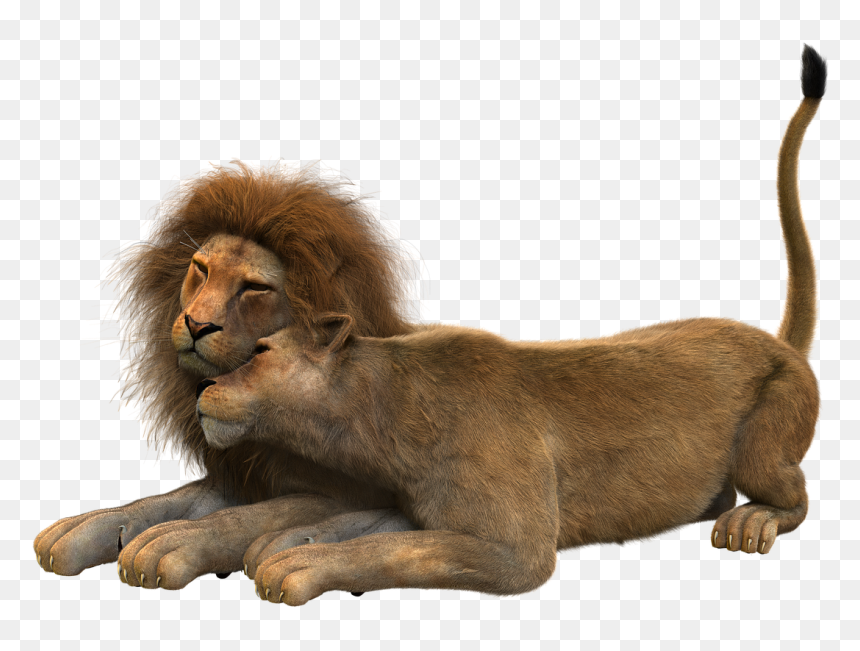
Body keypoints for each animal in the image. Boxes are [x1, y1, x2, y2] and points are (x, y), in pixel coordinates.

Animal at [34, 163, 416, 589]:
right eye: (201, 269)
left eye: (255, 287)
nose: (197, 324)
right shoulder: (240, 476)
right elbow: (164, 502)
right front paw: (82, 527)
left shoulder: (342, 491)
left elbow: (249, 518)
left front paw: (171, 541)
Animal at [193, 47, 825, 604]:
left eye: (261, 350)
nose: (206, 390)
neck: (382, 411)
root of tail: (778, 344)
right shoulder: (415, 507)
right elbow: (368, 525)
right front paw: (281, 540)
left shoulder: (517, 550)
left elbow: (395, 551)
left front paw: (294, 564)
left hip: (767, 446)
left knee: (794, 496)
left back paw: (752, 522)